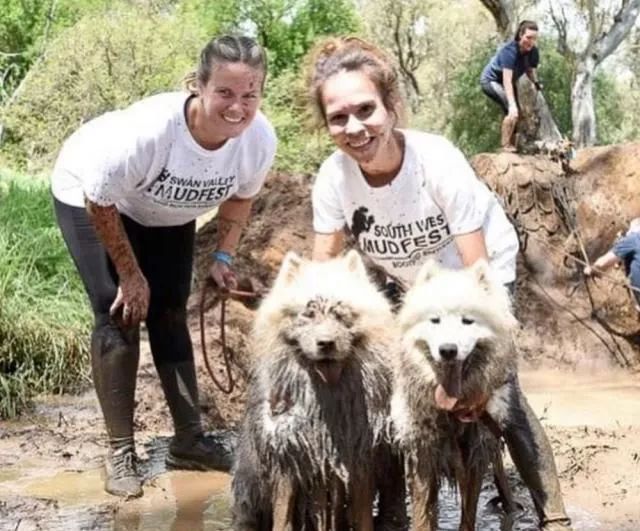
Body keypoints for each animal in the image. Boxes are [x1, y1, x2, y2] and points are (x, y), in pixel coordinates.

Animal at [232, 250, 408, 531]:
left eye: (340, 313)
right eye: (309, 314)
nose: (326, 343)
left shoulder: (360, 463)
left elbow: (363, 518)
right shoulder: (288, 462)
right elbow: (282, 520)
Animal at [390, 262, 520, 531]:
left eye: (467, 321)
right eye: (435, 320)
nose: (448, 350)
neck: (450, 412)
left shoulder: (473, 458)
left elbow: (468, 516)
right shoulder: (423, 456)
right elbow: (423, 516)